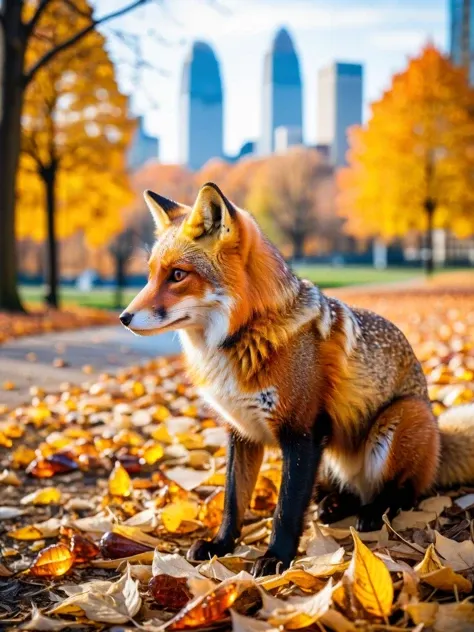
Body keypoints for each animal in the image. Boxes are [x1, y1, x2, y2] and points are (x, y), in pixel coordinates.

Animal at [121, 180, 474, 576]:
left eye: (178, 275)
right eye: (151, 274)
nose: (123, 317)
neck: (246, 335)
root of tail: (438, 433)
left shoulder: (303, 432)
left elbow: (286, 510)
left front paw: (277, 557)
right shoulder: (241, 433)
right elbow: (233, 501)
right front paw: (221, 545)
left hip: (398, 420)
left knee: (403, 492)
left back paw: (376, 511)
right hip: (334, 453)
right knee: (348, 492)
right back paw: (333, 505)